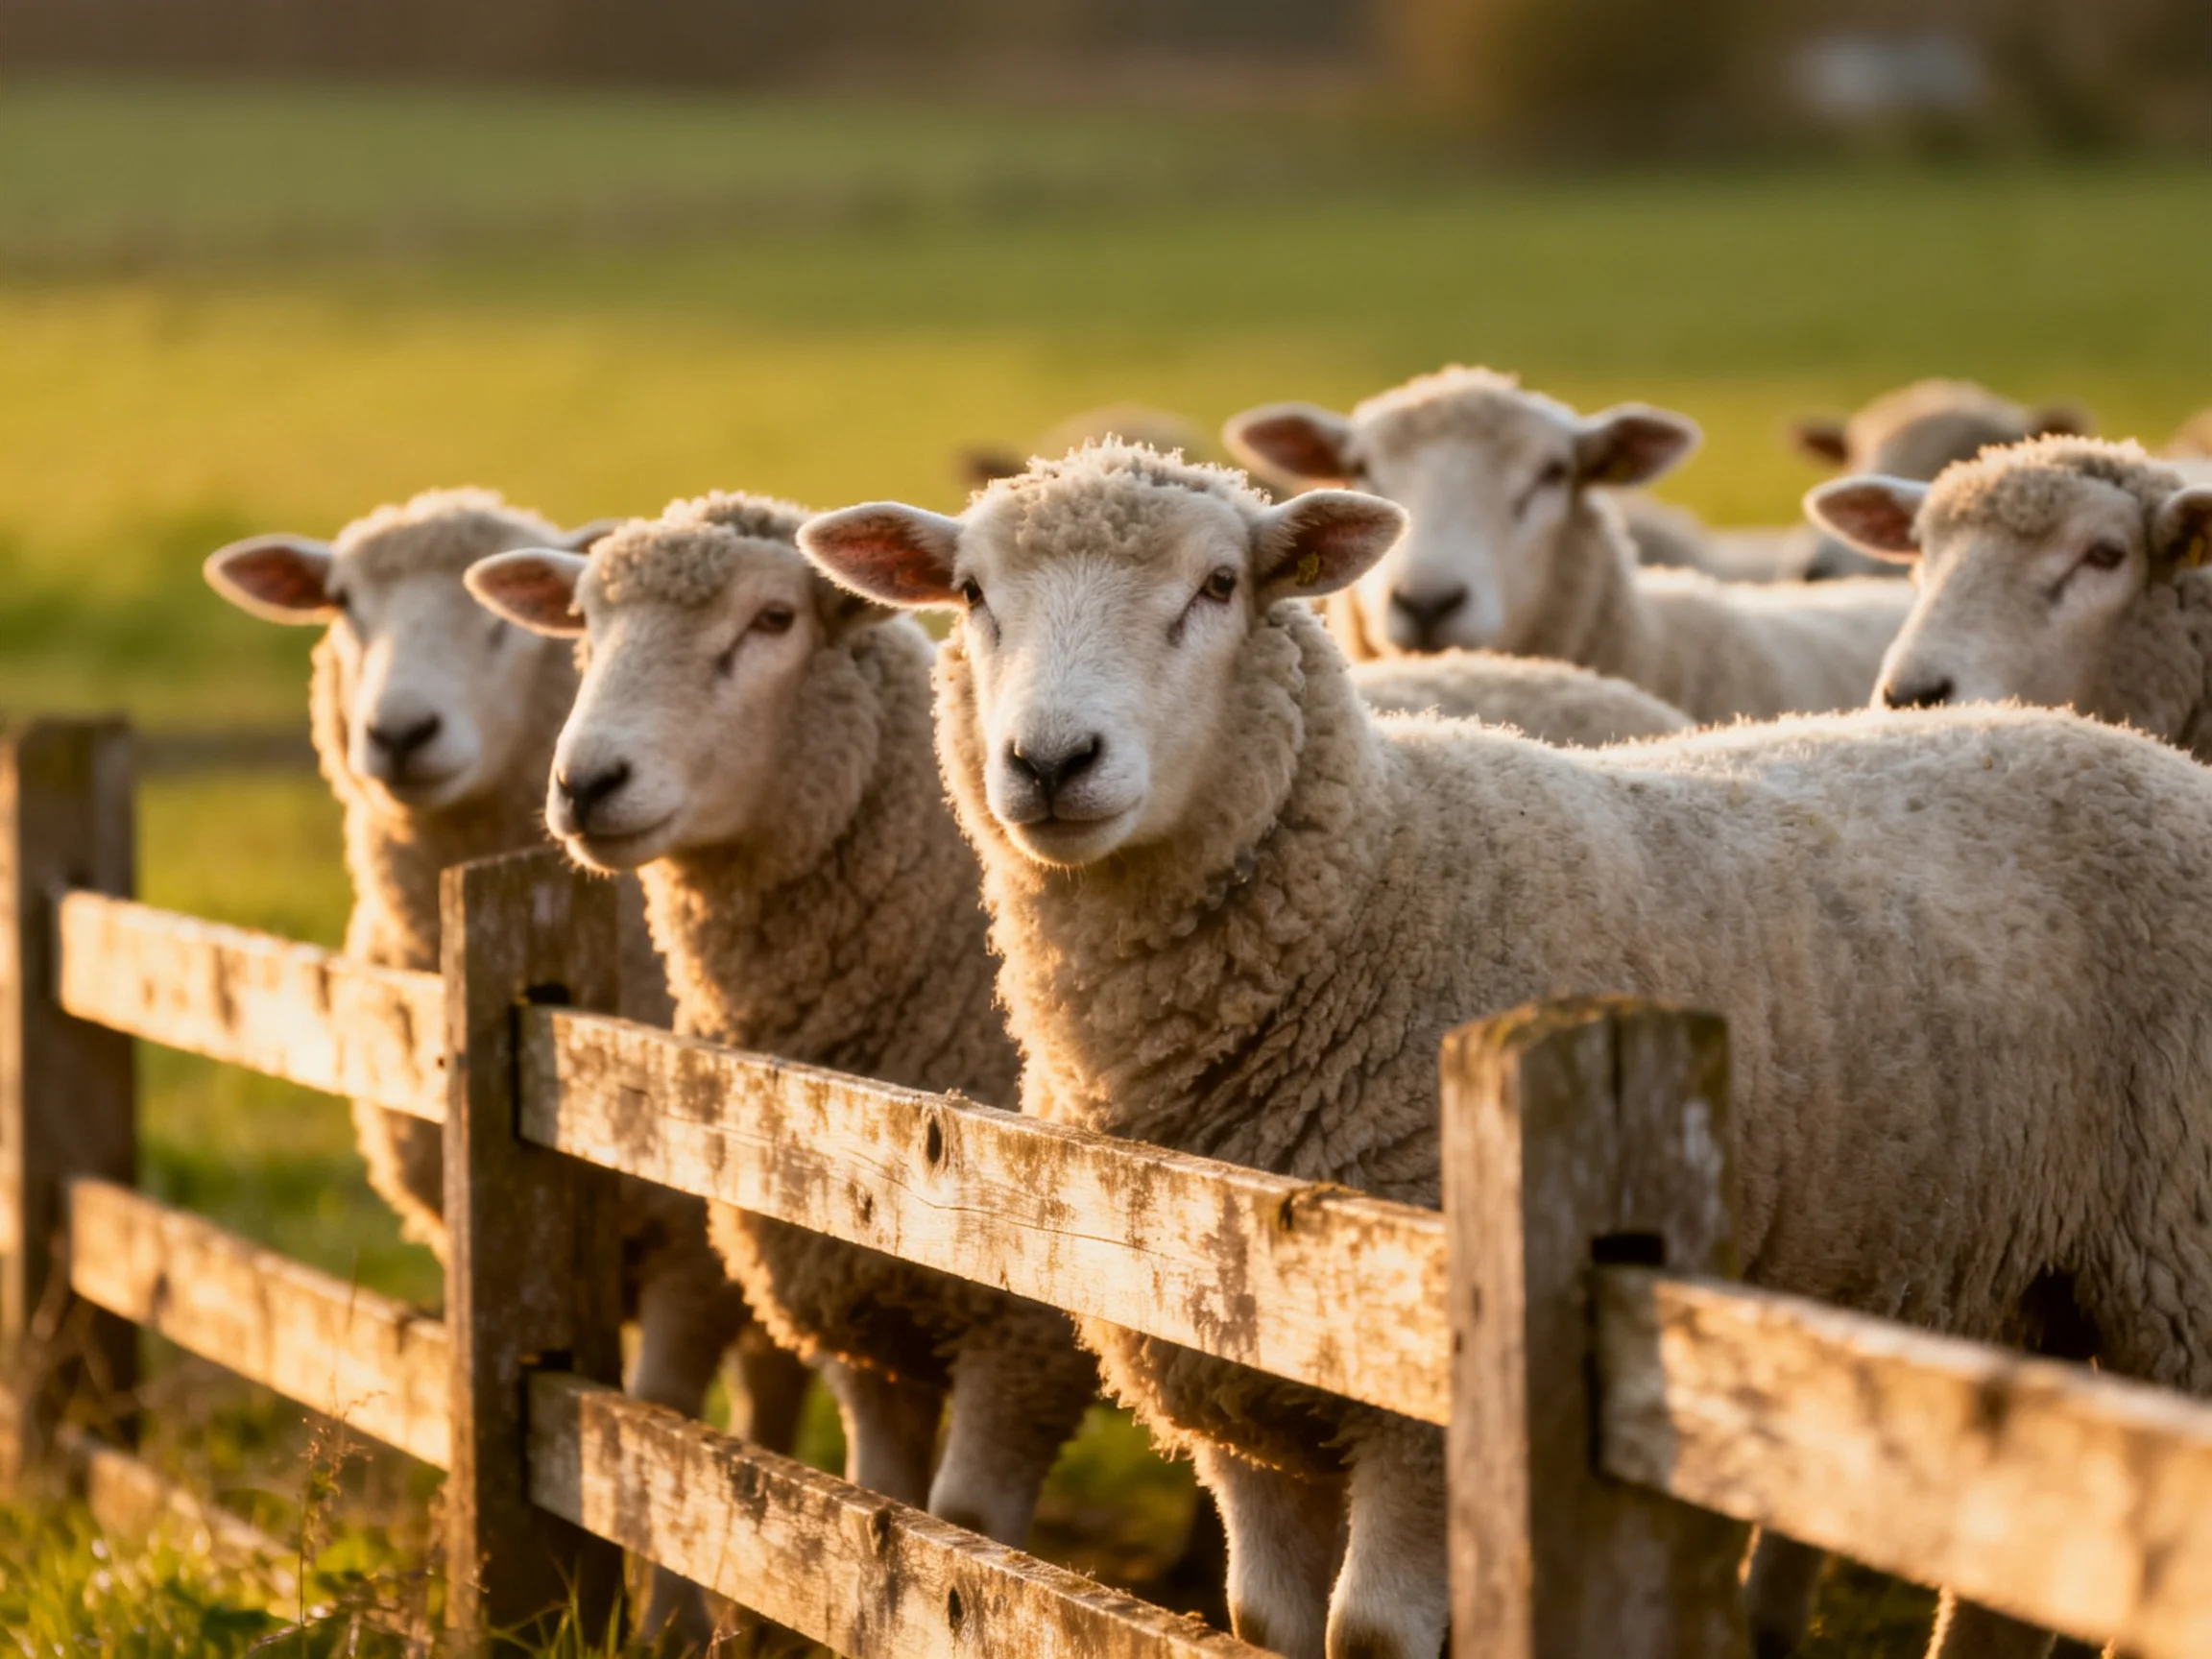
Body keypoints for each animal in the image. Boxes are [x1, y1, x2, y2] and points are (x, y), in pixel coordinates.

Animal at [204, 488, 807, 1645]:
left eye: (500, 628)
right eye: (342, 604)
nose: (398, 734)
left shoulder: (691, 1250)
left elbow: (659, 1435)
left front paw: (662, 1627)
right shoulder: (454, 1223)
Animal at [465, 491, 1098, 1551]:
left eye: (773, 619)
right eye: (585, 623)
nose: (585, 784)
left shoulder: (1025, 1341)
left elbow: (968, 1531)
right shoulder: (860, 1315)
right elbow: (880, 1500)